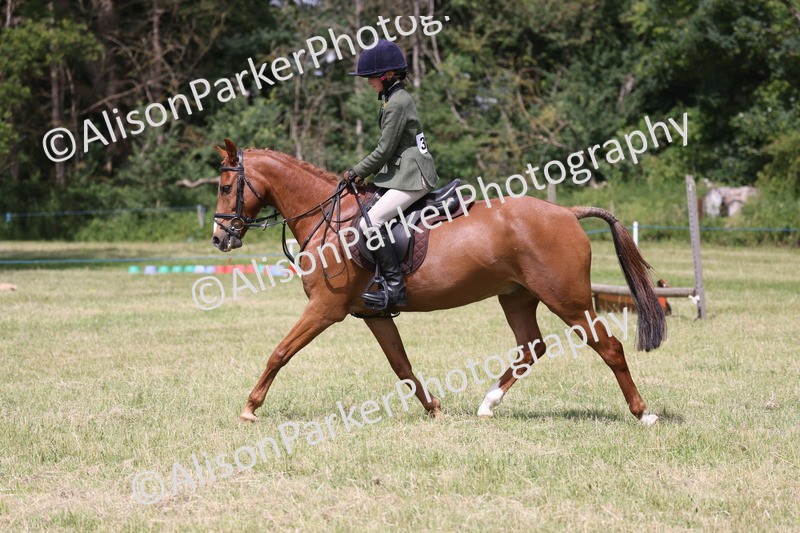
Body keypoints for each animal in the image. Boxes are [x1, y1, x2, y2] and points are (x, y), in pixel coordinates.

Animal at [210, 139, 666, 426]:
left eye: (226, 186)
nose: (219, 238)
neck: (331, 220)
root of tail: (567, 213)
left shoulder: (326, 308)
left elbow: (280, 352)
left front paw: (250, 408)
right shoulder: (373, 314)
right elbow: (402, 366)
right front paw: (434, 408)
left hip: (568, 300)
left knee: (609, 347)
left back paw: (643, 413)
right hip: (517, 297)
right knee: (530, 347)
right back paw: (487, 404)